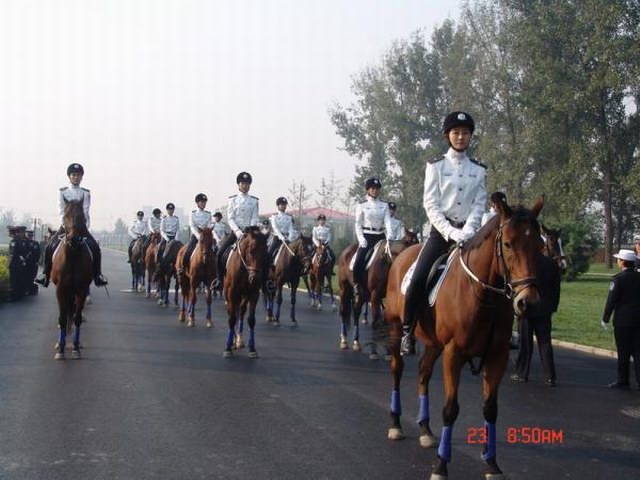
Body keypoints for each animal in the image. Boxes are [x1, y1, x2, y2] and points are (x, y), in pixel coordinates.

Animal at [51, 199, 94, 360]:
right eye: (65, 216)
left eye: (82, 216)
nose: (74, 238)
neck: (73, 252)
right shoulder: (60, 289)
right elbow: (62, 318)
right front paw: (61, 349)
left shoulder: (81, 290)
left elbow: (77, 318)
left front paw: (75, 348)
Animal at [222, 227, 268, 358]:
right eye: (251, 251)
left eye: (265, 253)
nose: (256, 278)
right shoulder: (231, 293)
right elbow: (231, 319)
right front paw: (228, 348)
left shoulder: (253, 294)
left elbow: (251, 320)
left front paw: (252, 348)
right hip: (229, 295)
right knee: (231, 312)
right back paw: (233, 341)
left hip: (243, 296)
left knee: (241, 312)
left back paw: (239, 340)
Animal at [382, 196, 544, 480]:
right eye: (507, 244)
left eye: (539, 244)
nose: (528, 302)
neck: (482, 293)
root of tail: (402, 257)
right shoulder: (453, 354)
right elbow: (450, 410)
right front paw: (441, 467)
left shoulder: (497, 356)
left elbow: (491, 409)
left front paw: (492, 465)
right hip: (396, 328)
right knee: (397, 370)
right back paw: (396, 424)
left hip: (434, 344)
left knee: (423, 374)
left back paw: (425, 430)